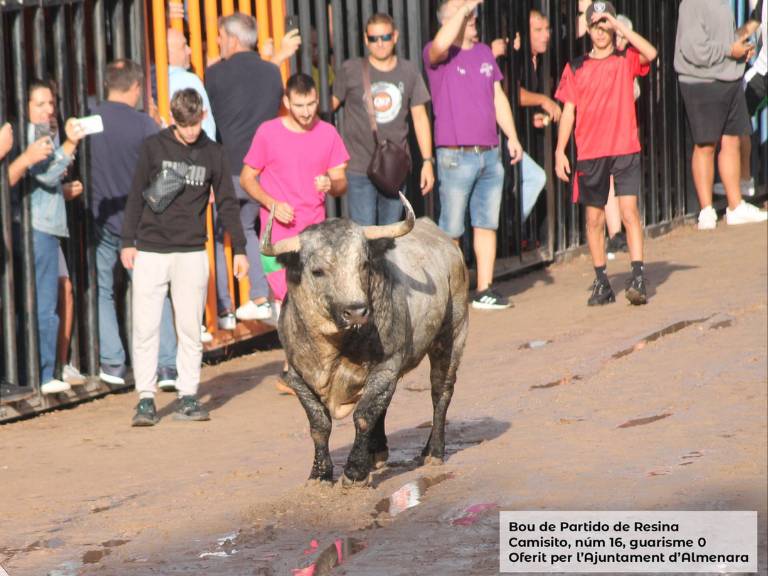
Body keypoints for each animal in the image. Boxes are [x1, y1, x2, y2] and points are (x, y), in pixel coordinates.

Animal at [262, 194, 468, 486]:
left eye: (364, 264)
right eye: (317, 271)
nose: (357, 311)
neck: (334, 346)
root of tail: (447, 243)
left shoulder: (386, 366)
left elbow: (363, 417)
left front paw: (355, 472)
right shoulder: (296, 376)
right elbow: (319, 424)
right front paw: (320, 474)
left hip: (452, 334)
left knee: (441, 392)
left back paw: (434, 451)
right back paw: (379, 452)